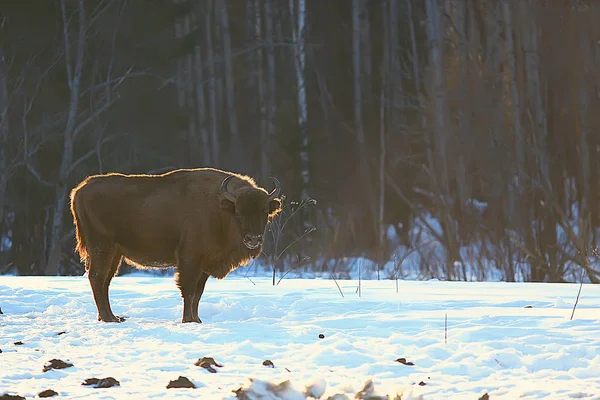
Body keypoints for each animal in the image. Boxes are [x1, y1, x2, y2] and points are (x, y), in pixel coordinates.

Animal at [69, 167, 284, 324]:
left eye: (264, 212)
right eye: (238, 212)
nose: (253, 239)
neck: (220, 209)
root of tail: (79, 190)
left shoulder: (204, 264)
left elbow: (198, 293)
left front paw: (197, 319)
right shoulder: (190, 259)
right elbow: (188, 290)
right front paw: (188, 320)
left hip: (115, 253)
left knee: (105, 280)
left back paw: (112, 317)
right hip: (102, 247)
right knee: (97, 277)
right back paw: (109, 318)